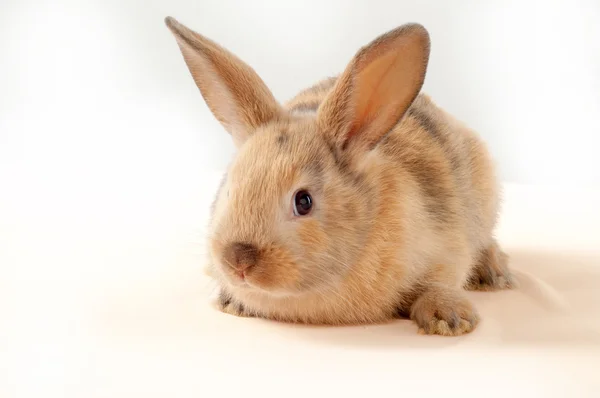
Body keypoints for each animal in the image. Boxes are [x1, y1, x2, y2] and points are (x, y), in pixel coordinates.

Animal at [165, 17, 516, 338]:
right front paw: (231, 301)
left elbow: (438, 283)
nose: (237, 260)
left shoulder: (446, 248)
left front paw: (449, 319)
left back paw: (494, 274)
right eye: (228, 190)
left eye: (304, 201)